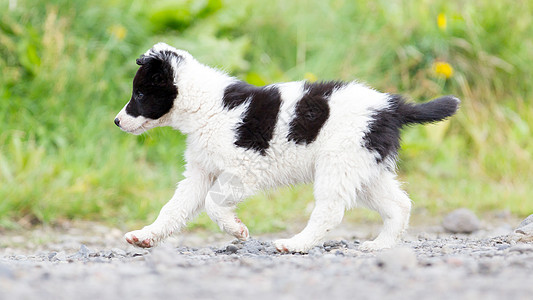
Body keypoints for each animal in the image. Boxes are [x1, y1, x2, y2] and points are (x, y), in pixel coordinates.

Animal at [114, 42, 460, 252]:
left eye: (140, 94)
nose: (116, 121)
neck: (207, 106)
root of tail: (391, 107)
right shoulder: (201, 172)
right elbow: (174, 208)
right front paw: (145, 236)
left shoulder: (244, 168)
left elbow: (214, 204)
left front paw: (237, 230)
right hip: (364, 170)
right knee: (400, 205)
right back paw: (380, 246)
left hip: (338, 164)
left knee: (330, 211)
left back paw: (296, 244)